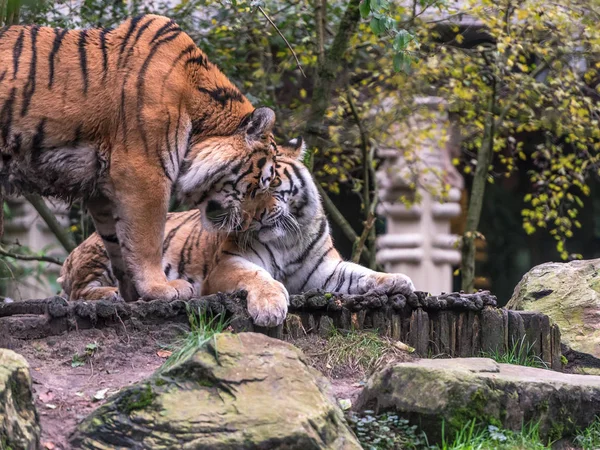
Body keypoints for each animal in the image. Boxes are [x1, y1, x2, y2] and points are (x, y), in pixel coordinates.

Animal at [0, 14, 280, 302]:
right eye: (258, 186)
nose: (248, 227)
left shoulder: (102, 190)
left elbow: (118, 244)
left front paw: (134, 293)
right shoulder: (143, 172)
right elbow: (149, 239)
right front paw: (161, 287)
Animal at [62, 139, 418, 326]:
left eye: (271, 184)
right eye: (241, 191)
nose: (255, 217)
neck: (288, 238)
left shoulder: (325, 271)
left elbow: (361, 273)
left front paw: (397, 280)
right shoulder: (227, 265)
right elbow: (259, 277)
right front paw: (270, 308)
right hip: (106, 251)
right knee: (78, 291)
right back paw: (110, 293)